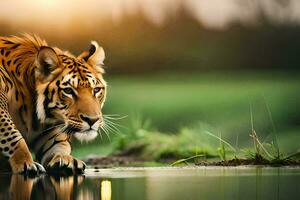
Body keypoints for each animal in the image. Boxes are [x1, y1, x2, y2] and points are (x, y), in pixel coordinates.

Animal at [0, 33, 106, 174]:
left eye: (96, 90)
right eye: (68, 91)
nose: (92, 120)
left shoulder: (49, 126)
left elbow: (58, 143)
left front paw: (66, 159)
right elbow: (11, 135)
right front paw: (26, 162)